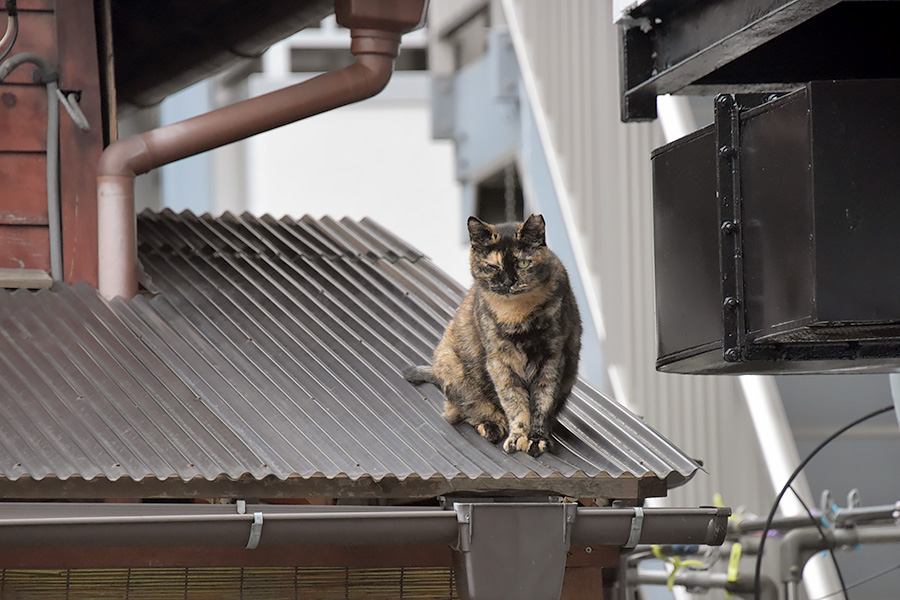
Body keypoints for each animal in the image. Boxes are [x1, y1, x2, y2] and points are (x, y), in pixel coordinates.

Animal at [402, 214, 584, 454]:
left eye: (523, 263)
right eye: (492, 266)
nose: (508, 282)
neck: (517, 315)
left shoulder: (552, 358)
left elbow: (542, 402)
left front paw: (537, 438)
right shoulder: (499, 361)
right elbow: (513, 401)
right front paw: (518, 435)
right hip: (452, 365)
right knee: (463, 410)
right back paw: (492, 427)